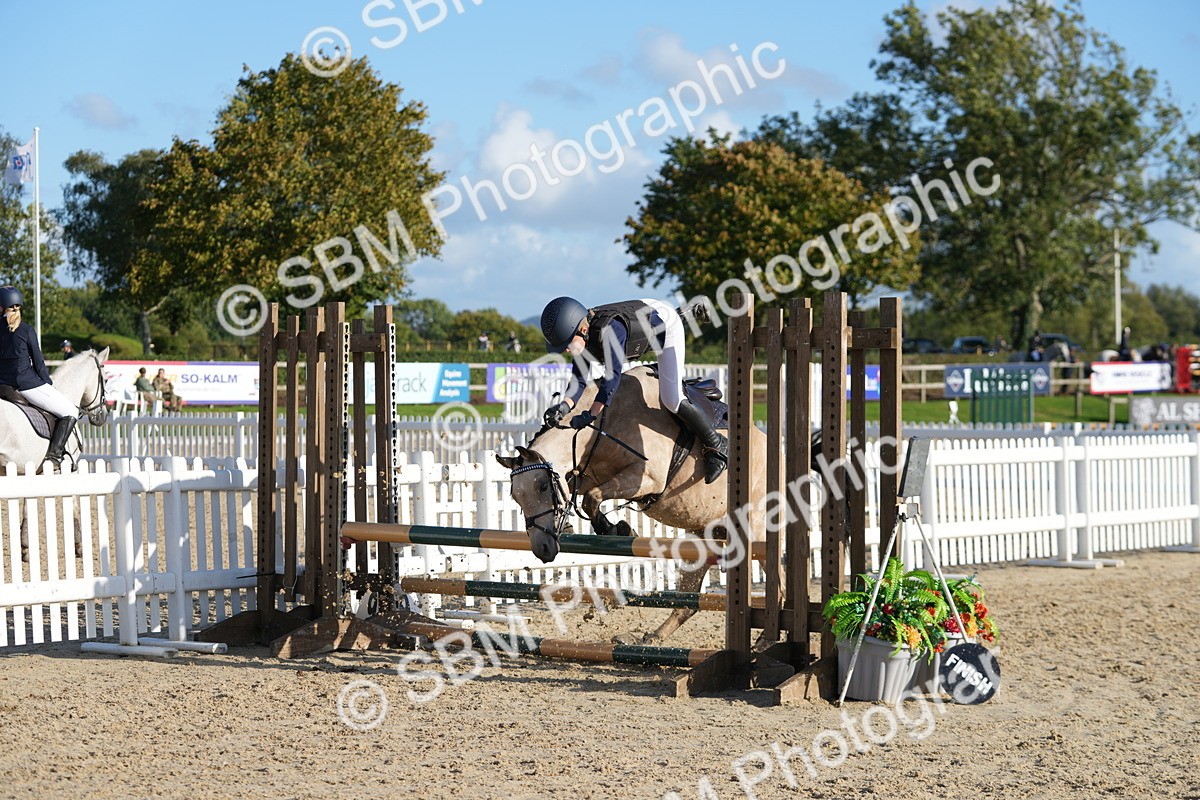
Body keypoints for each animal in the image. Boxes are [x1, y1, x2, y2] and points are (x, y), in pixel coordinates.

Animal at [495, 365, 768, 645]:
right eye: (515, 496)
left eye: (542, 486)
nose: (543, 549)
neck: (600, 427)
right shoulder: (588, 474)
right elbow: (580, 494)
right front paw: (592, 526)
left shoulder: (646, 478)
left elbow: (591, 498)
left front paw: (617, 529)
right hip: (703, 537)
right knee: (687, 605)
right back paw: (652, 639)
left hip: (756, 532)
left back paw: (764, 640)